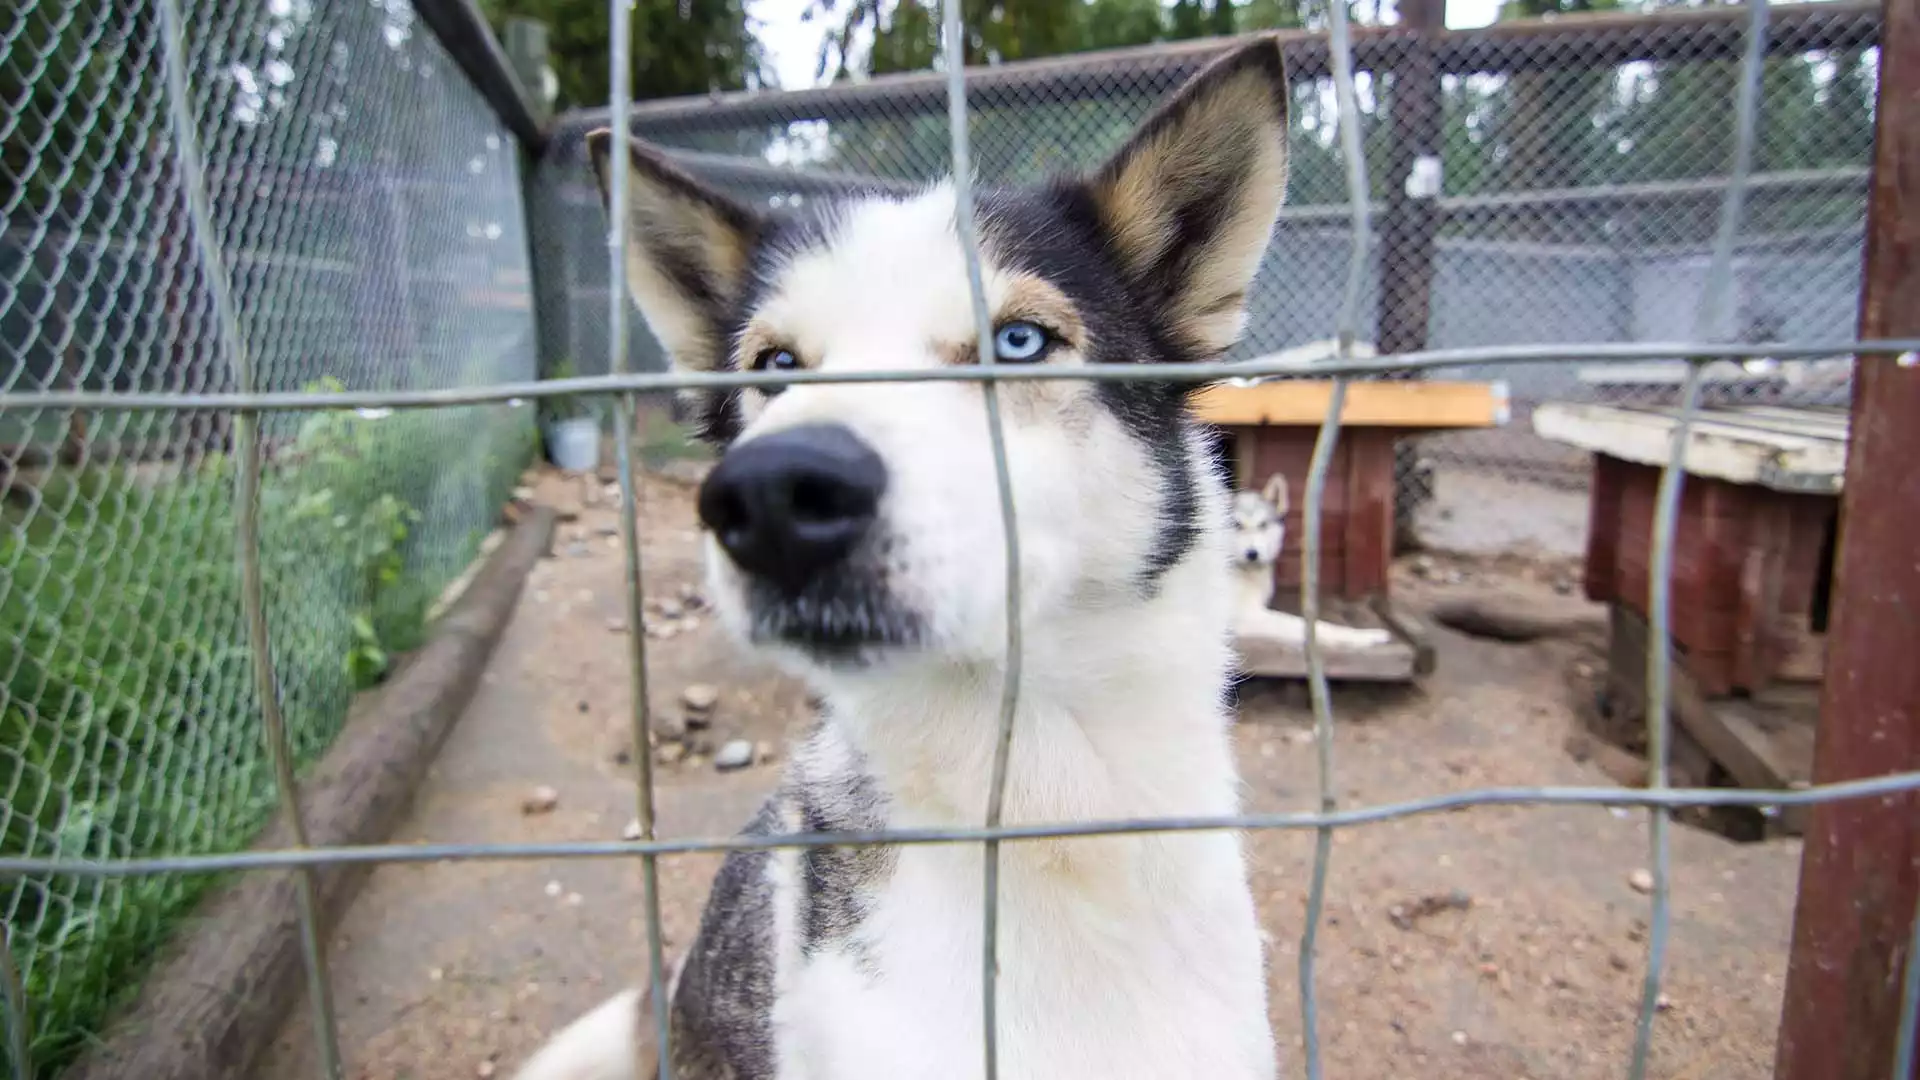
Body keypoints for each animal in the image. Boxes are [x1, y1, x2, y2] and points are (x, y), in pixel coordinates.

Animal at [1236, 472, 1390, 645]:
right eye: (1237, 525)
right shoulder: (1248, 617)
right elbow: (1319, 627)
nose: (1252, 554)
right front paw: (1363, 637)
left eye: (1263, 525)